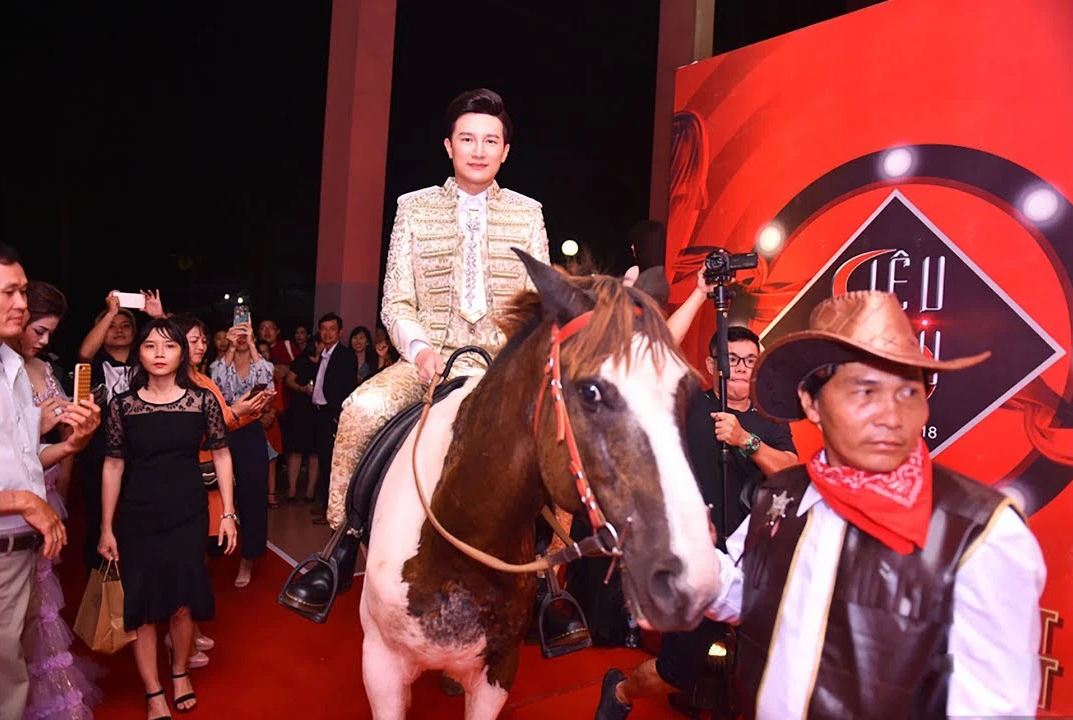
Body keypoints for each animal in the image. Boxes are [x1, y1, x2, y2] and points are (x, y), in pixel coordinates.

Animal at [360, 253, 721, 716]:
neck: (460, 545)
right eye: (590, 391)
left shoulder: (498, 671)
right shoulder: (380, 666)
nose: (695, 578)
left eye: (686, 391)